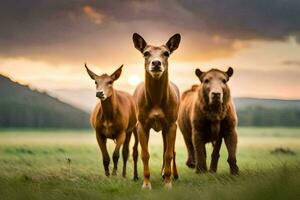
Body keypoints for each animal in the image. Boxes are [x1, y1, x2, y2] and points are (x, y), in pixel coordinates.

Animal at [132, 33, 180, 189]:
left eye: (166, 53)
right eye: (146, 53)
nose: (156, 63)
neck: (156, 102)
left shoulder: (171, 124)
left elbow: (168, 154)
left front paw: (168, 184)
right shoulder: (141, 124)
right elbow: (145, 154)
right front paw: (146, 184)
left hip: (169, 125)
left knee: (171, 150)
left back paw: (171, 175)